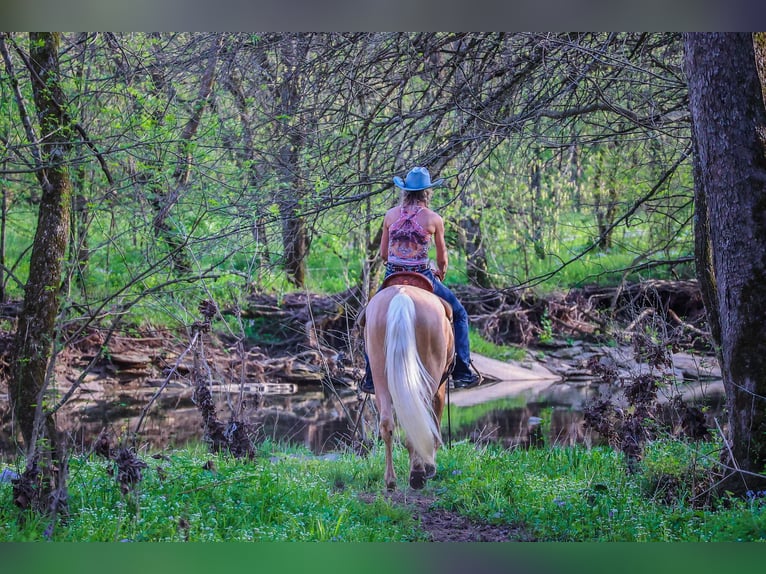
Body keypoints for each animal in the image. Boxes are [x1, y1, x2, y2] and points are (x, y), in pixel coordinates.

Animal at [364, 276, 452, 492]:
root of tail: (402, 295)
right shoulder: (440, 386)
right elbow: (434, 421)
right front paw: (430, 466)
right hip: (429, 376)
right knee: (419, 417)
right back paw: (418, 474)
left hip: (380, 374)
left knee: (387, 423)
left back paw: (390, 480)